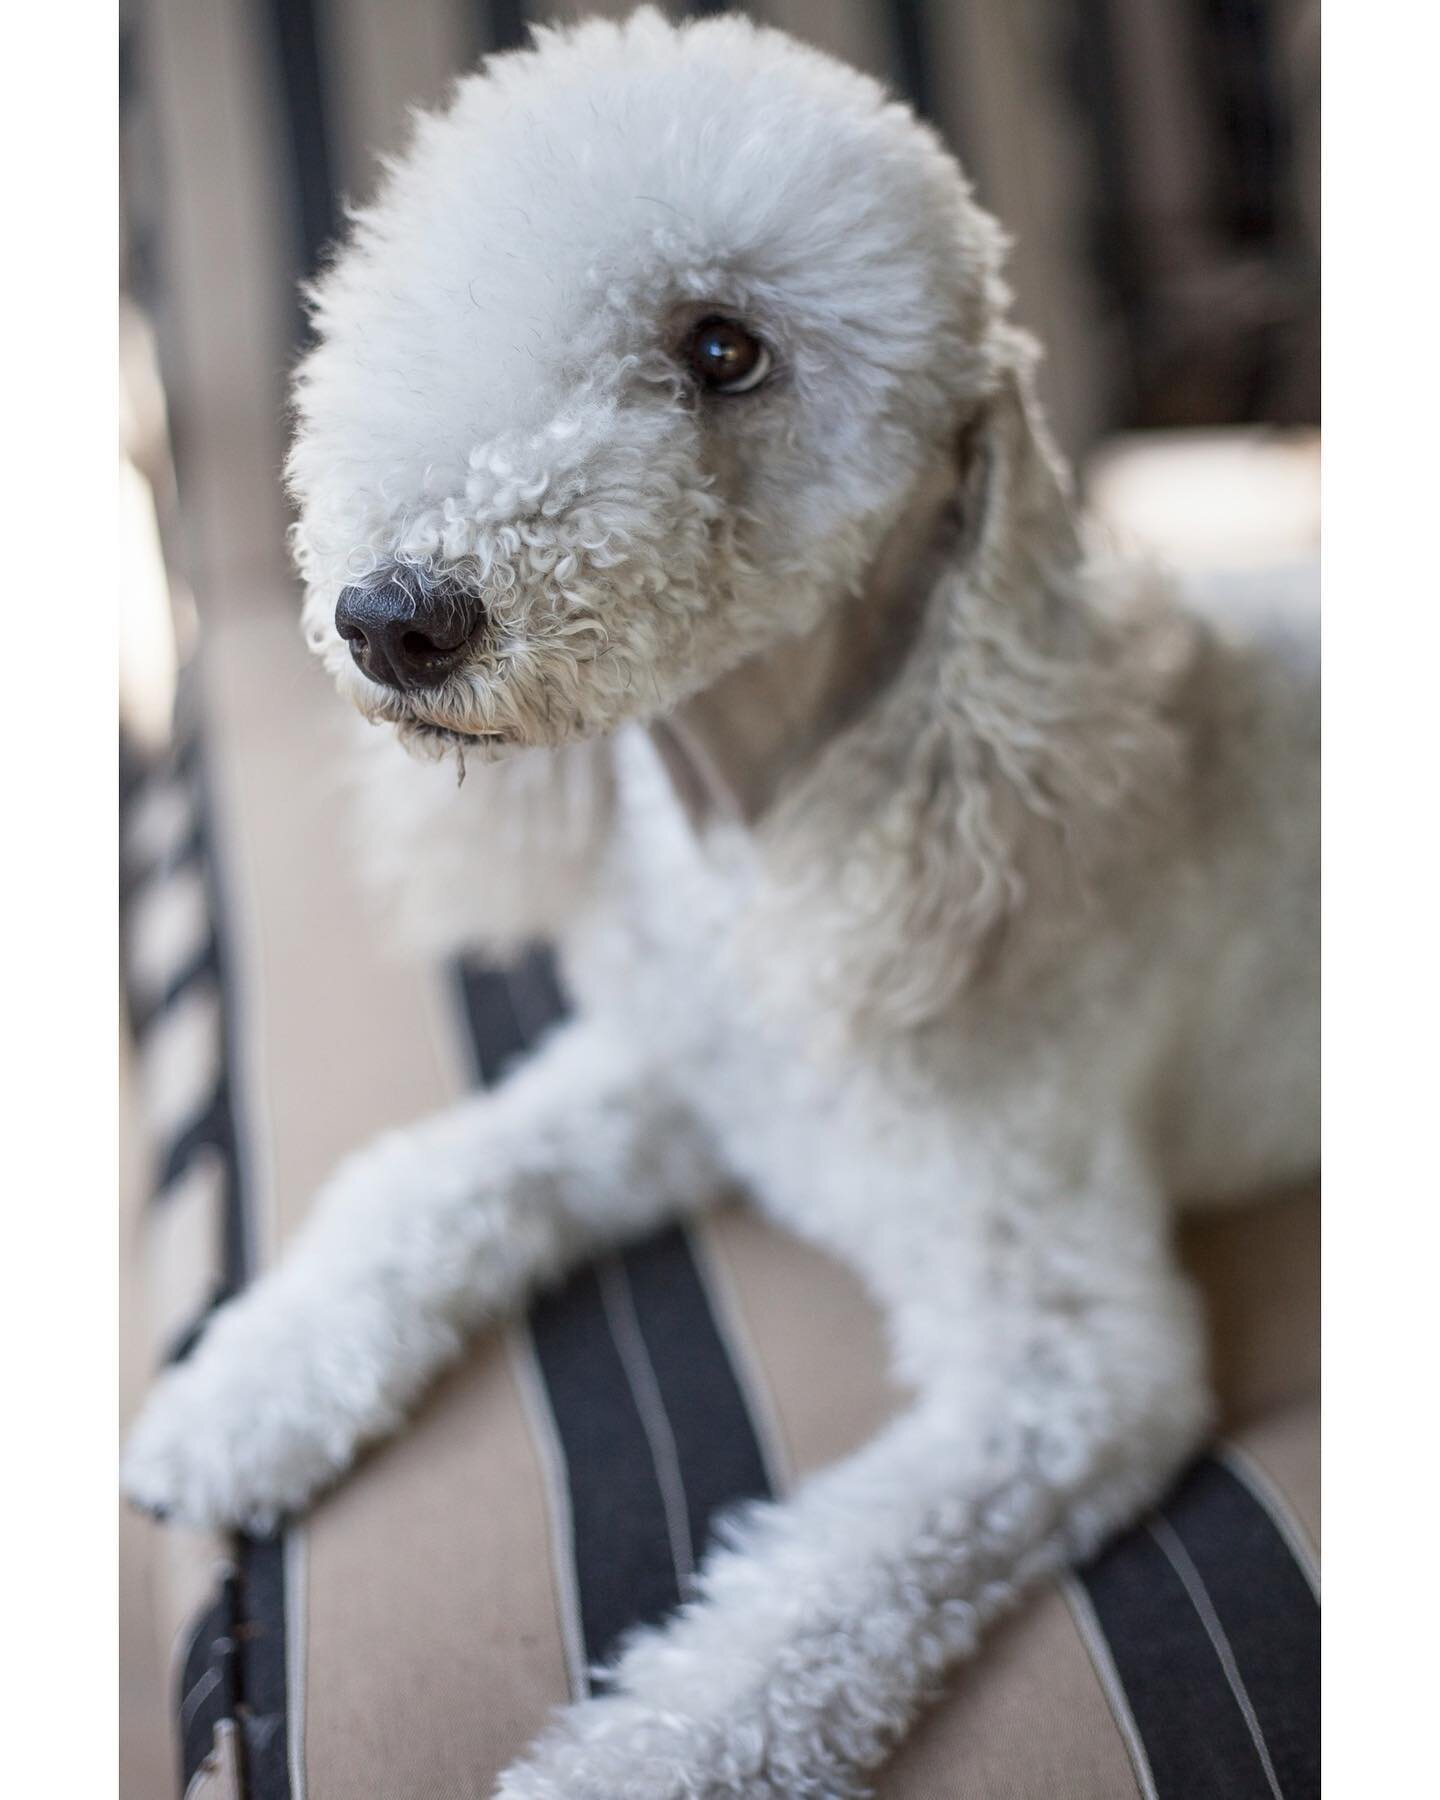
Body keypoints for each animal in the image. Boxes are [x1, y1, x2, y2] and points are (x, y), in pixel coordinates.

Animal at [124, 14, 1317, 1800]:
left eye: (725, 350)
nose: (391, 617)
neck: (782, 831)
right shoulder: (668, 1073)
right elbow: (435, 1181)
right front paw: (238, 1392)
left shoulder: (1068, 1370)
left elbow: (807, 1612)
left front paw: (627, 1761)